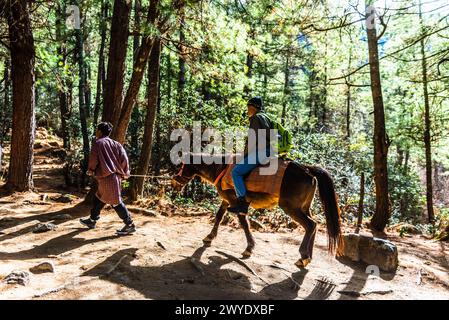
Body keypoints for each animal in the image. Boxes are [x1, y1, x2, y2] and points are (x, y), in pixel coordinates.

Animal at [172, 154, 344, 268]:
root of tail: (307, 170)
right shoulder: (227, 200)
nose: (175, 180)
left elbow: (244, 223)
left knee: (310, 225)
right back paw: (308, 256)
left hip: (291, 207)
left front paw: (249, 248)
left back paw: (304, 256)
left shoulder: (236, 202)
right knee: (314, 225)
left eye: (184, 165)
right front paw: (209, 237)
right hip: (303, 208)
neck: (221, 168)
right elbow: (219, 216)